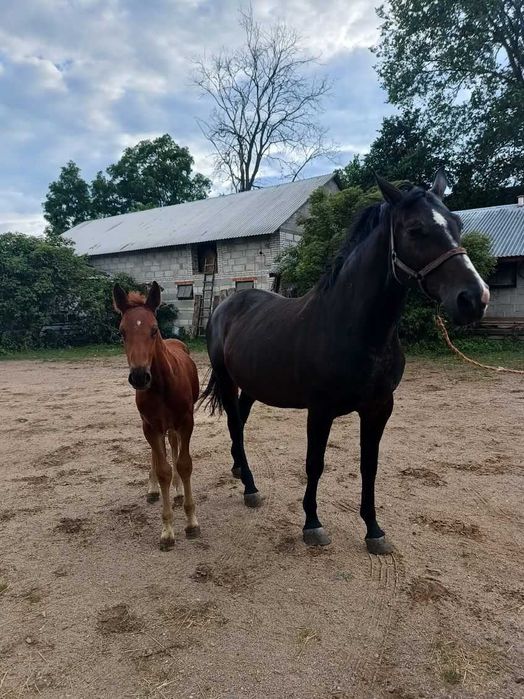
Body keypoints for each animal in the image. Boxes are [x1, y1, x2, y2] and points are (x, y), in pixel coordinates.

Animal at [112, 282, 199, 548]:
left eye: (154, 329)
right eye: (121, 332)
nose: (140, 376)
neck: (162, 385)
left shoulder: (186, 422)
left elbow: (184, 464)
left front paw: (191, 522)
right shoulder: (150, 426)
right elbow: (163, 470)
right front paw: (168, 530)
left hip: (173, 425)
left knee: (174, 445)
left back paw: (179, 491)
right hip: (153, 426)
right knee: (157, 452)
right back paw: (152, 490)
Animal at [203, 170, 490, 552]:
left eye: (457, 223)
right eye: (415, 229)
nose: (474, 299)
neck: (354, 328)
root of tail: (225, 305)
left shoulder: (379, 408)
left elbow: (370, 466)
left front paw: (374, 529)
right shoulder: (320, 410)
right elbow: (315, 464)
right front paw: (312, 523)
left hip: (251, 384)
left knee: (241, 422)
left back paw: (239, 469)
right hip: (226, 377)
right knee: (235, 424)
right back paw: (250, 487)